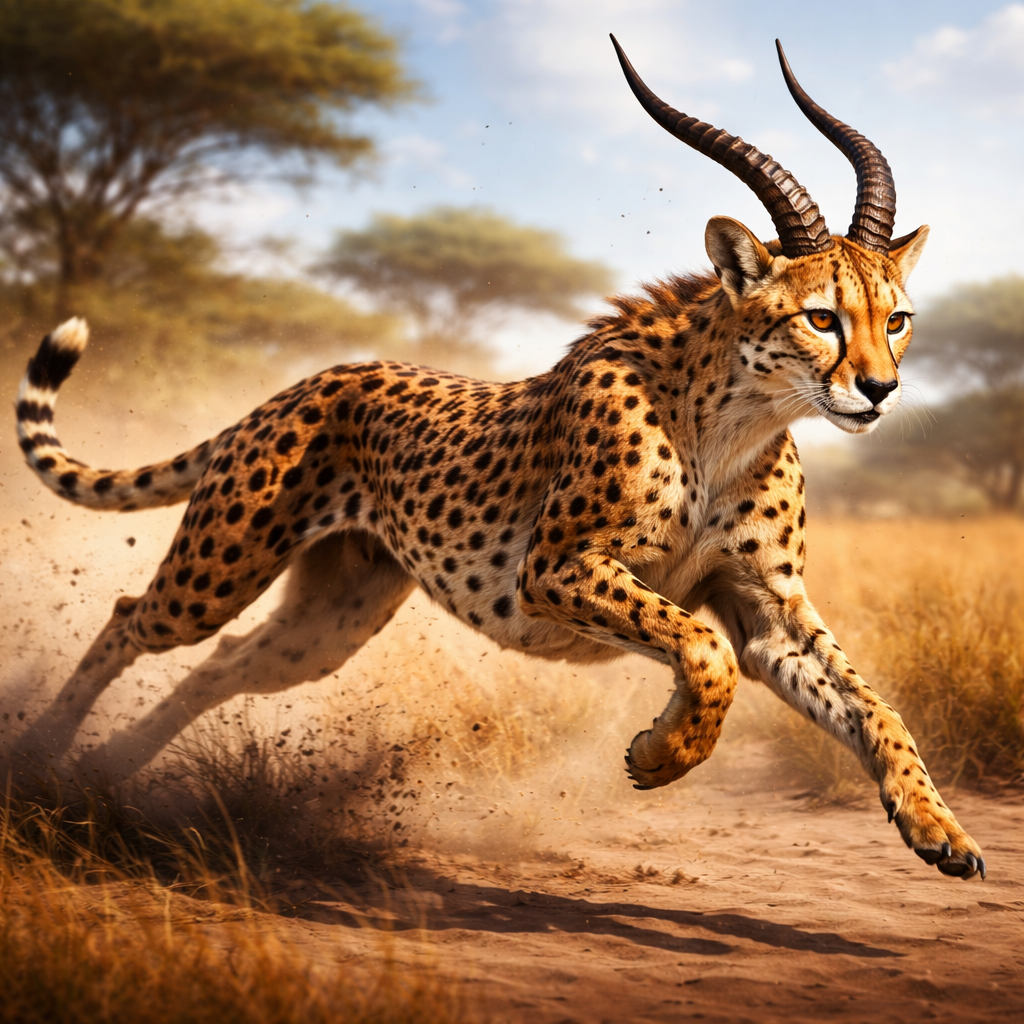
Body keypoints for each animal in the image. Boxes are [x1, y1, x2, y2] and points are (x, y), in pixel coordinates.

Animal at [7, 37, 985, 880]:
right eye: (821, 317)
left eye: (897, 317)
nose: (879, 389)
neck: (730, 420)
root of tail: (311, 379)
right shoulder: (554, 567)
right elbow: (699, 644)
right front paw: (663, 750)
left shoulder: (767, 608)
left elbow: (872, 705)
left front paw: (938, 827)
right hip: (221, 568)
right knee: (132, 616)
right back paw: (46, 761)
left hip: (328, 621)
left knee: (223, 666)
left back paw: (111, 770)